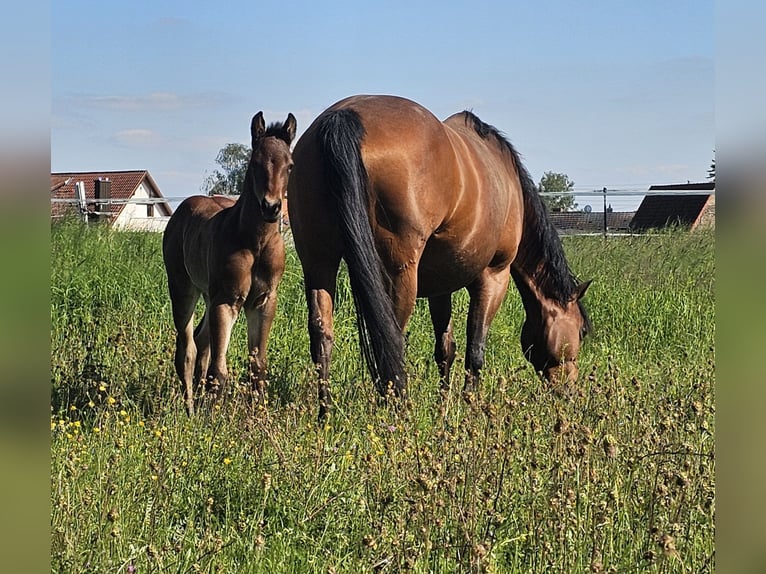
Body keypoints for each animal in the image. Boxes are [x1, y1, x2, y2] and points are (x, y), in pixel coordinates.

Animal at [162, 111, 296, 414]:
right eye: (255, 162)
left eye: (290, 166)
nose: (272, 207)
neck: (255, 242)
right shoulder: (227, 299)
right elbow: (219, 370)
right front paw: (213, 418)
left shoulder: (263, 301)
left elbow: (258, 366)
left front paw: (258, 416)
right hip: (183, 288)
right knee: (187, 348)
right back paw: (190, 408)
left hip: (208, 295)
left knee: (201, 340)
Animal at [288, 95, 592, 418]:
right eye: (582, 331)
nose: (570, 391)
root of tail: (343, 116)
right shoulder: (494, 276)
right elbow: (475, 348)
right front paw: (469, 407)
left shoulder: (439, 286)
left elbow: (445, 348)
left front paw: (442, 409)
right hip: (399, 273)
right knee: (391, 337)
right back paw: (398, 412)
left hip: (318, 261)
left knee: (322, 334)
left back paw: (325, 413)